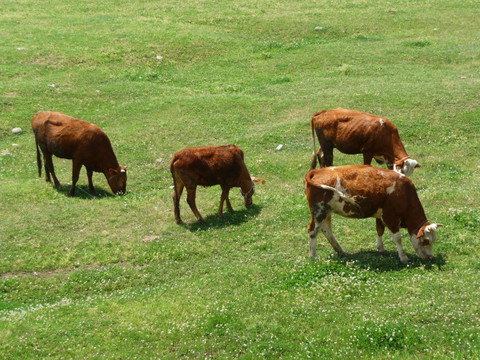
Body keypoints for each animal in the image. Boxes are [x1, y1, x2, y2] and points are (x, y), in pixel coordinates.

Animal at [306, 165, 440, 262]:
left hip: (327, 212)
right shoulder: (390, 217)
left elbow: (379, 230)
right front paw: (403, 258)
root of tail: (317, 171)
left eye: (434, 240)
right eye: (426, 241)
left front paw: (381, 248)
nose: (430, 257)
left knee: (326, 230)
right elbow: (397, 238)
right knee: (313, 231)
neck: (403, 193)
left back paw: (340, 251)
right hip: (319, 211)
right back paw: (313, 256)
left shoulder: (380, 216)